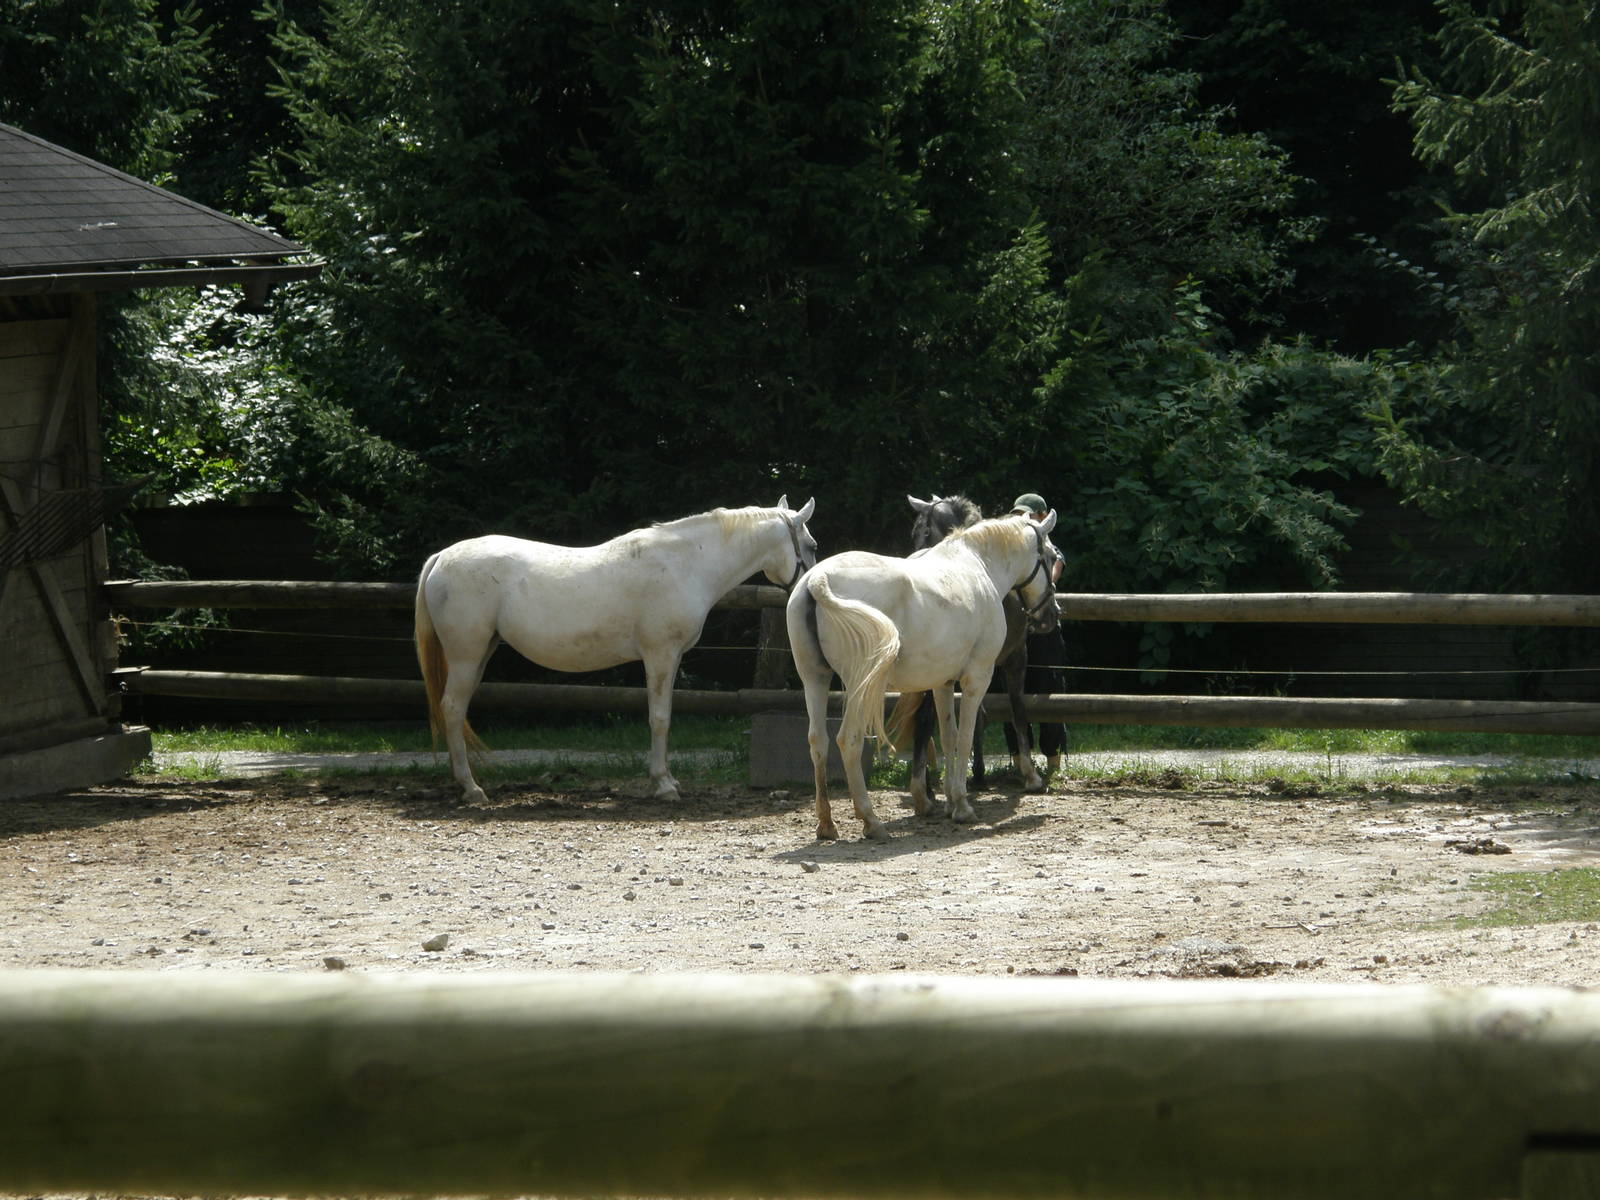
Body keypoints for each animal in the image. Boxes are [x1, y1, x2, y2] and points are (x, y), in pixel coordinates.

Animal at [416, 497, 817, 804]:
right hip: (466, 655)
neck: (685, 563)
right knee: (452, 708)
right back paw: (471, 789)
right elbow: (660, 718)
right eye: (812, 546)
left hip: (481, 653)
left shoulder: (671, 658)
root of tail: (441, 557)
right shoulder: (660, 655)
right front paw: (664, 785)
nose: (807, 591)